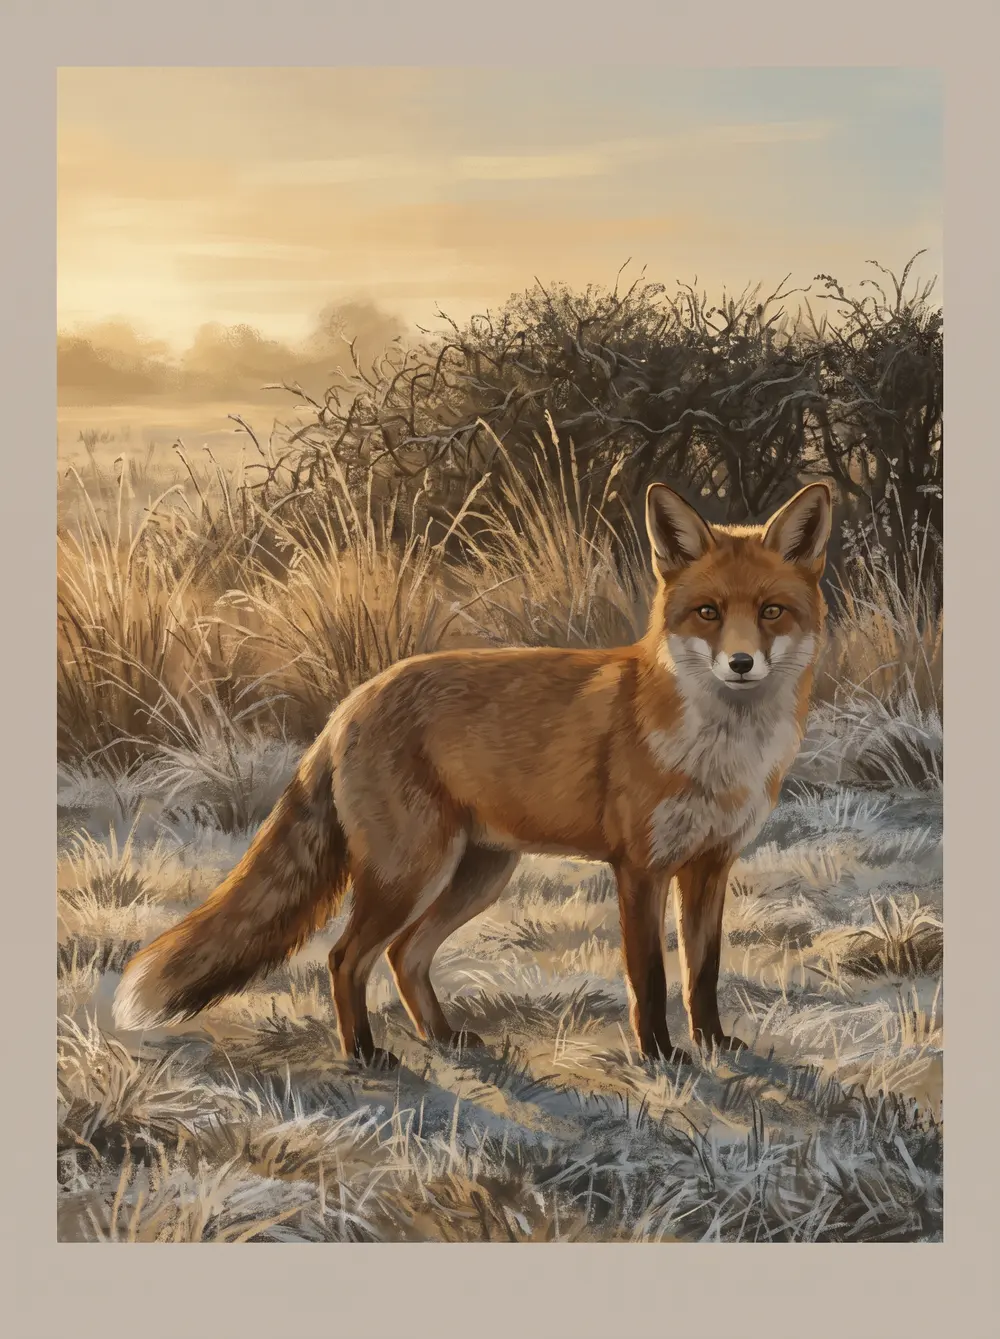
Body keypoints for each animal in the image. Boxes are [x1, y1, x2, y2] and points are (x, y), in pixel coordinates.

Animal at [114, 479, 833, 1069]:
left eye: (770, 611)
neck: (719, 752)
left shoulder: (711, 865)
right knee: (347, 956)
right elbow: (651, 977)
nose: (740, 663)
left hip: (475, 875)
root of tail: (352, 700)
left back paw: (442, 1036)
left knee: (404, 955)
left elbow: (703, 973)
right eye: (708, 612)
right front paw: (660, 1055)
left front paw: (715, 1044)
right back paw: (365, 1054)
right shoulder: (640, 867)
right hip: (411, 871)